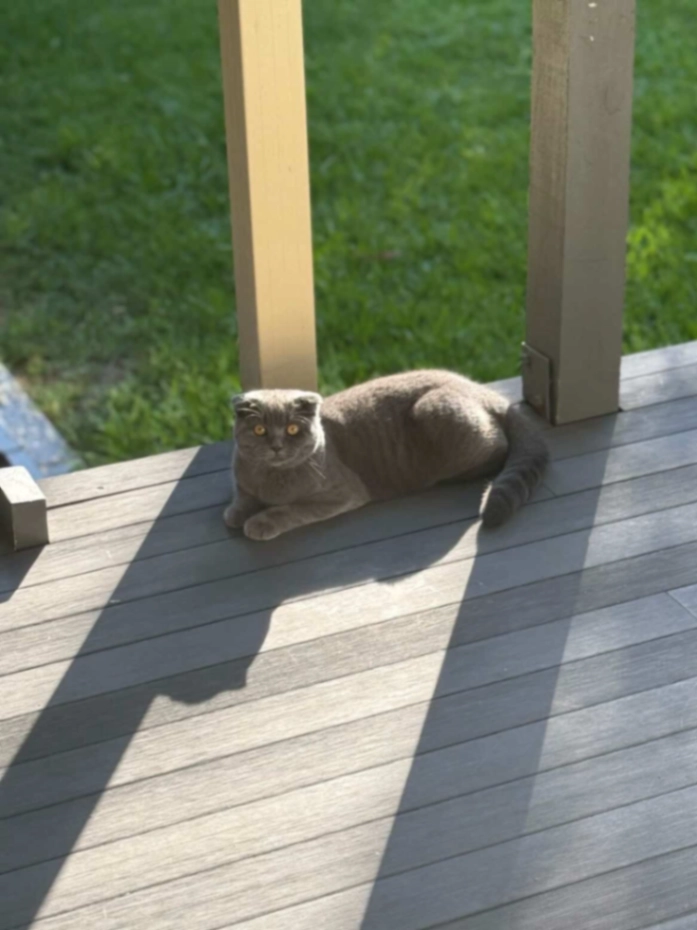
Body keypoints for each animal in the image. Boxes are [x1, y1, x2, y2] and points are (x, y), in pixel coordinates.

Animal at [224, 370, 548, 541]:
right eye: (260, 430)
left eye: (292, 429)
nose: (276, 446)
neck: (270, 478)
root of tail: (482, 391)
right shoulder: (242, 478)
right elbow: (241, 497)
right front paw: (236, 513)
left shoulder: (342, 493)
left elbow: (291, 509)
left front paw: (259, 522)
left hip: (435, 411)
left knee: (499, 448)